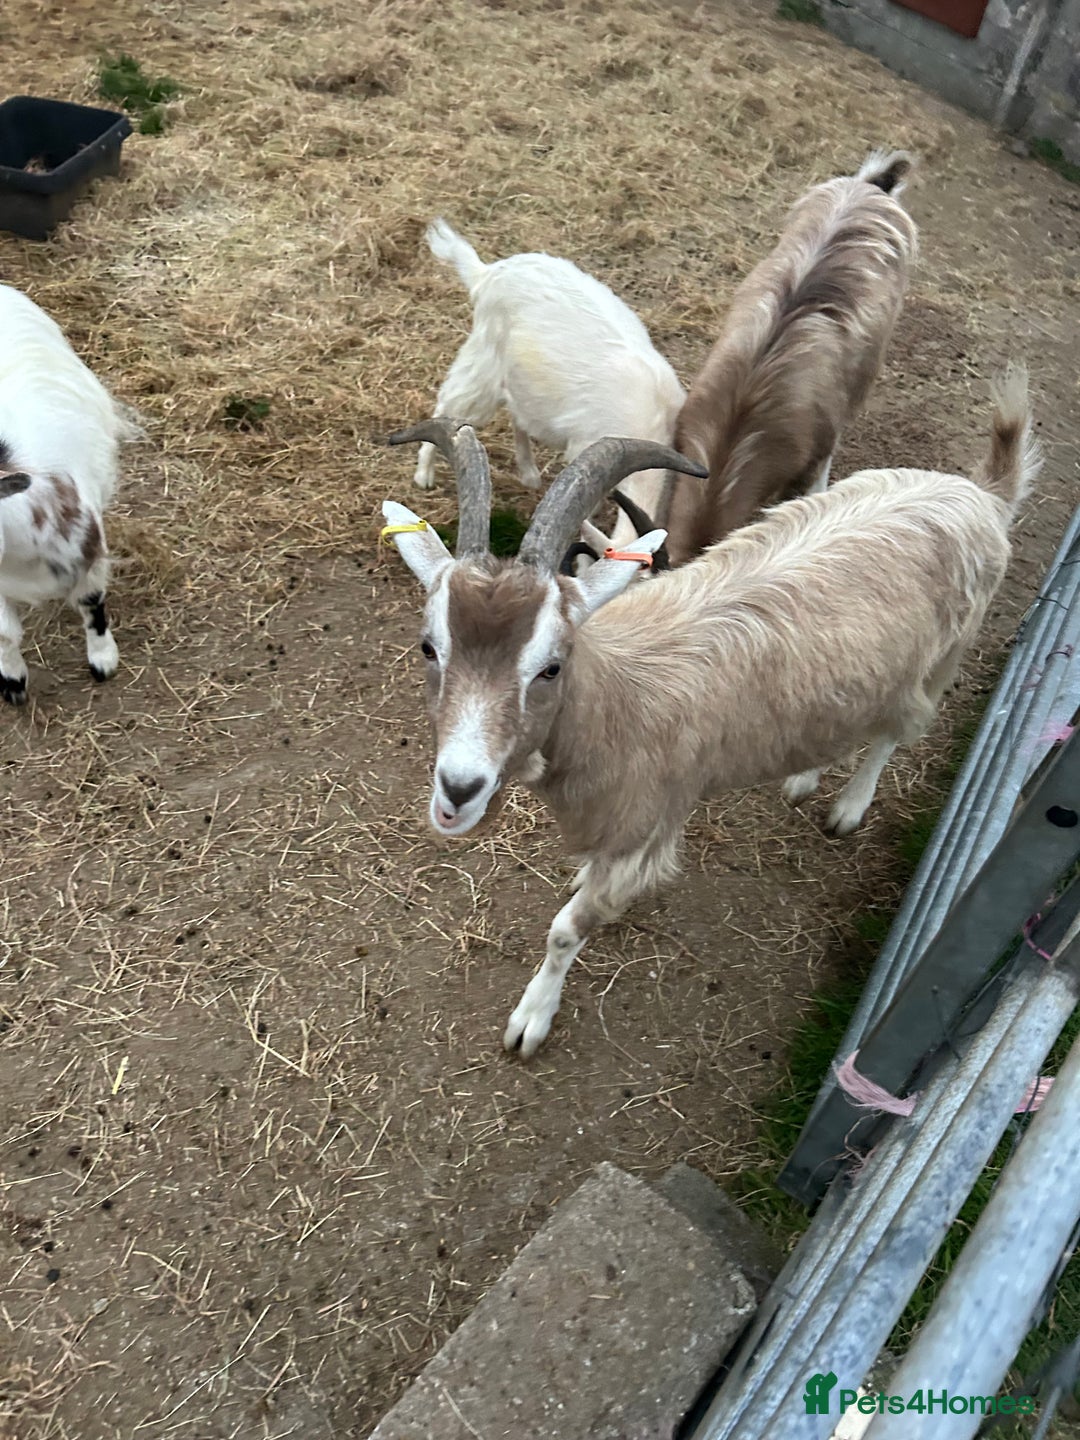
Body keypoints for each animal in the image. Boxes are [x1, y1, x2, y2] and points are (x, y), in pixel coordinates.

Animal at [381, 371, 1037, 1057]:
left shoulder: (648, 825)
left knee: (897, 730)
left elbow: (567, 929)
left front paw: (531, 1018)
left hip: (940, 663)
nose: (459, 791)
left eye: (551, 666)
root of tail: (982, 494)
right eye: (429, 646)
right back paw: (805, 776)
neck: (619, 697)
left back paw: (848, 808)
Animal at [413, 218, 685, 550]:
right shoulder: (585, 447)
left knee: (517, 412)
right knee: (450, 405)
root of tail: (487, 272)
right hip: (483, 362)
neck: (650, 417)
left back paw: (529, 473)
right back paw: (424, 474)